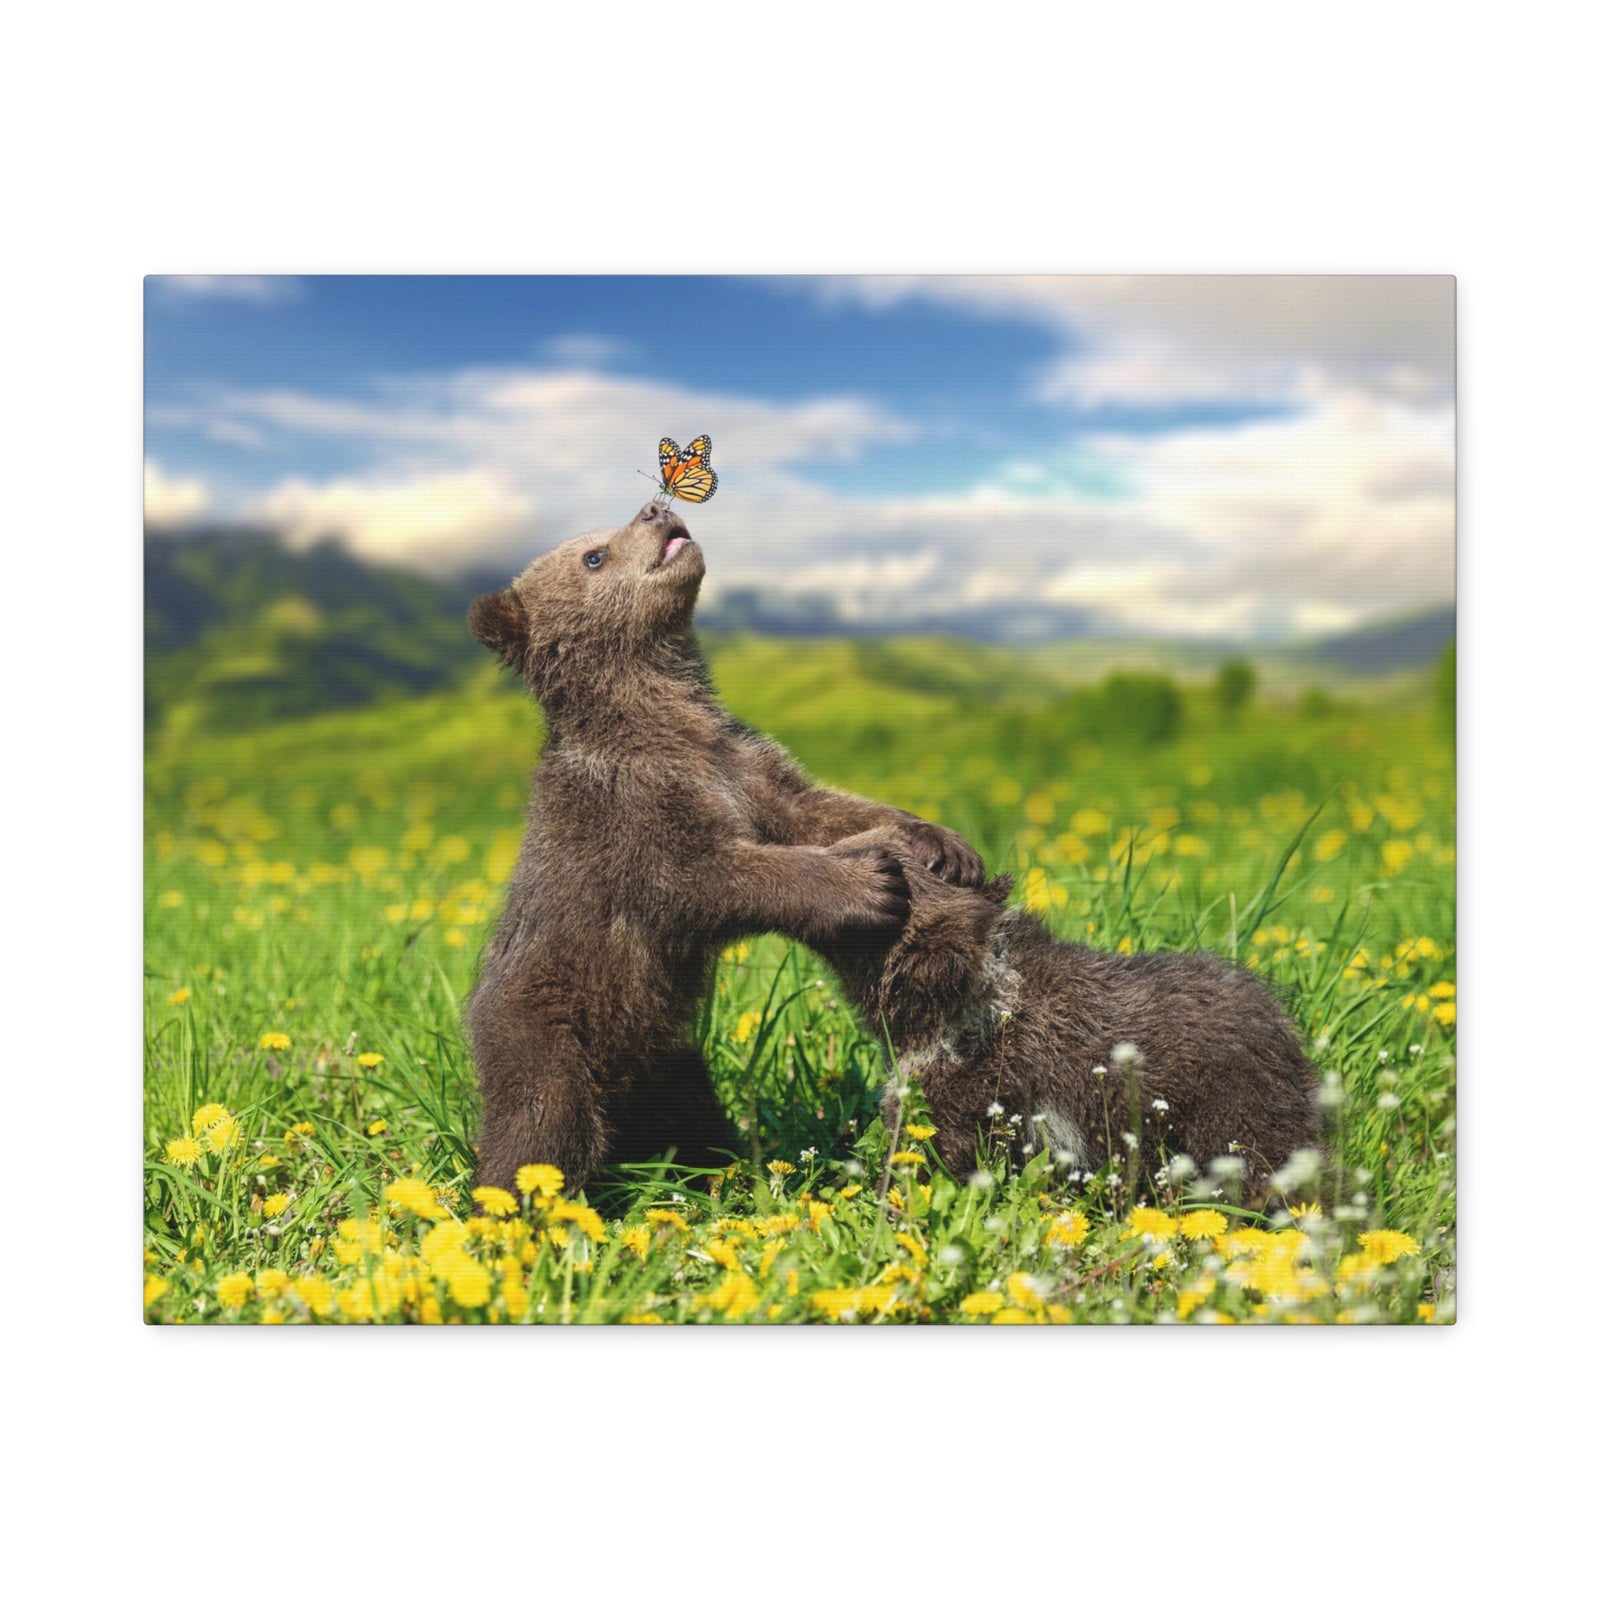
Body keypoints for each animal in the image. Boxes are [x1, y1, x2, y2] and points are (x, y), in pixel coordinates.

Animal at [465, 500, 985, 1195]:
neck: (664, 721)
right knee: (539, 1126)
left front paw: (942, 842)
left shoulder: (744, 767)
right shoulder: (630, 813)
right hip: (546, 1024)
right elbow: (702, 877)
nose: (655, 508)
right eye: (593, 555)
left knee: (692, 1117)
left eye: (605, 533)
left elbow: (818, 810)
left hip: (667, 1054)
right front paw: (867, 884)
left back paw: (719, 1170)